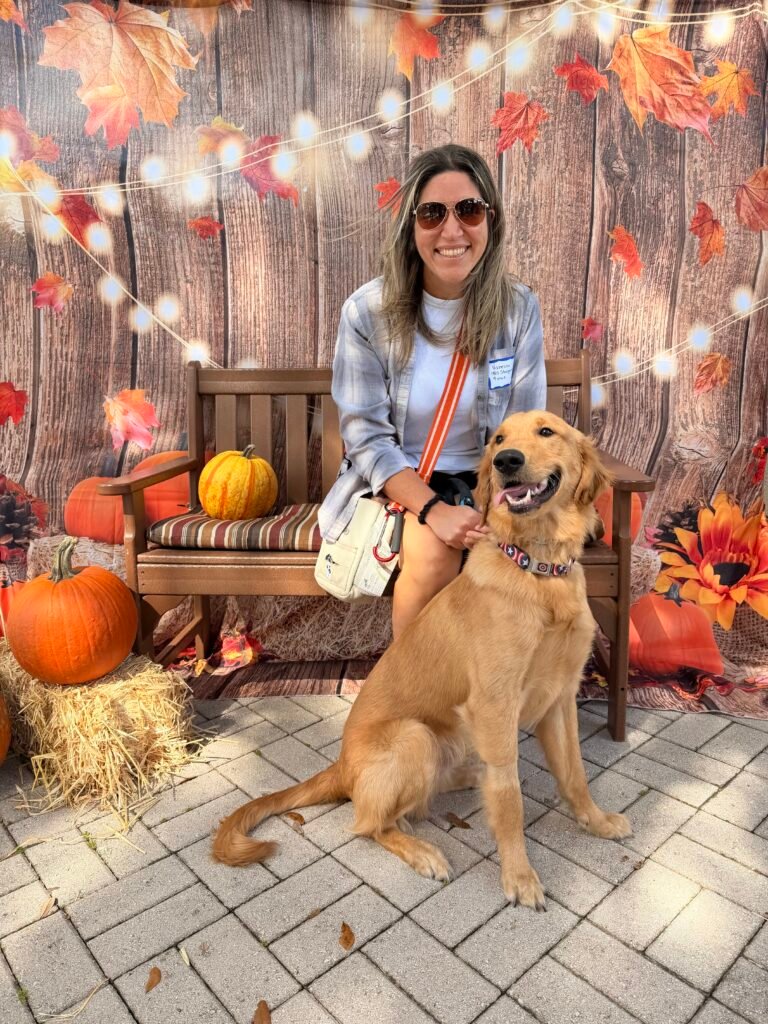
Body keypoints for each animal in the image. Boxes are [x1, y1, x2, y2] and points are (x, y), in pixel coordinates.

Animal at [212, 410, 632, 908]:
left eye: (546, 431)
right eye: (499, 440)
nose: (507, 462)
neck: (536, 569)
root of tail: (342, 767)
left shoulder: (560, 698)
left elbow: (575, 774)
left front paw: (596, 822)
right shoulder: (495, 704)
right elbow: (508, 796)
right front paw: (519, 875)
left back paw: (468, 775)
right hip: (415, 736)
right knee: (370, 823)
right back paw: (421, 850)